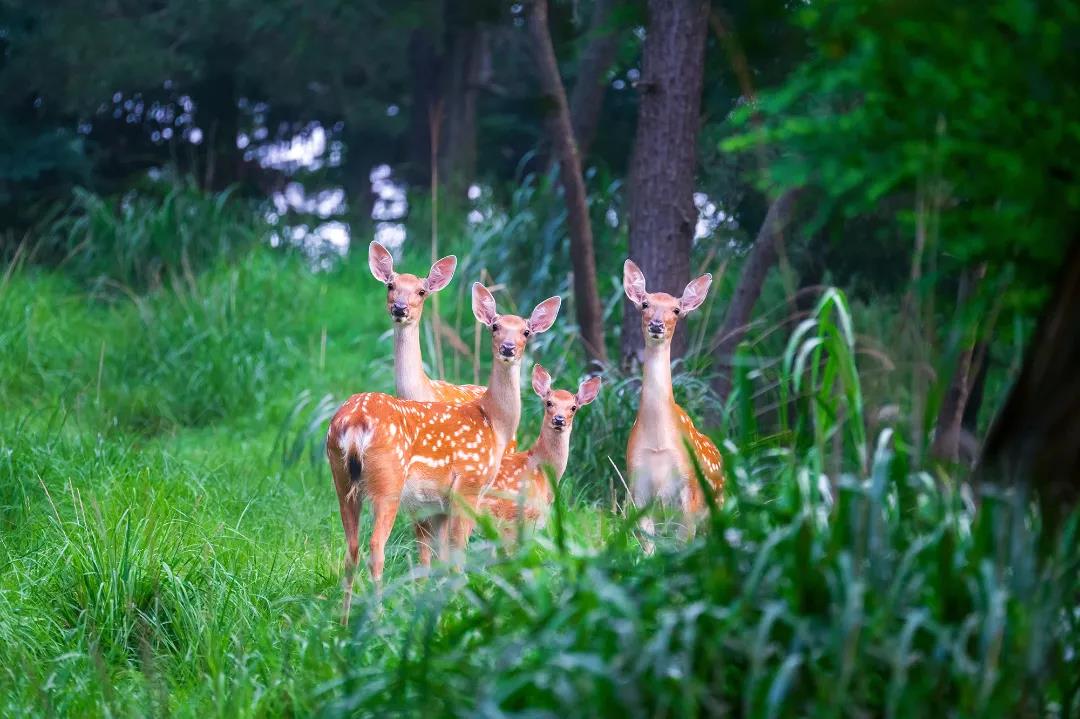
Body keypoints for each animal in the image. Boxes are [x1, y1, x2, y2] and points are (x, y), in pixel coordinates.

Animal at [324, 280, 561, 617]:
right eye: (494, 326)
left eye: (526, 331)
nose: (508, 348)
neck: (494, 422)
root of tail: (355, 421)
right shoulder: (468, 487)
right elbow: (457, 556)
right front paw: (459, 606)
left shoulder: (439, 501)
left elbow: (442, 558)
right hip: (388, 482)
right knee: (376, 546)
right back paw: (378, 618)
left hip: (341, 478)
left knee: (351, 547)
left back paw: (344, 622)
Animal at [626, 260, 725, 546]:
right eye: (644, 304)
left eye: (677, 310)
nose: (657, 324)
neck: (658, 441)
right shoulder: (638, 483)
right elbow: (648, 543)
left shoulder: (689, 485)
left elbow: (683, 543)